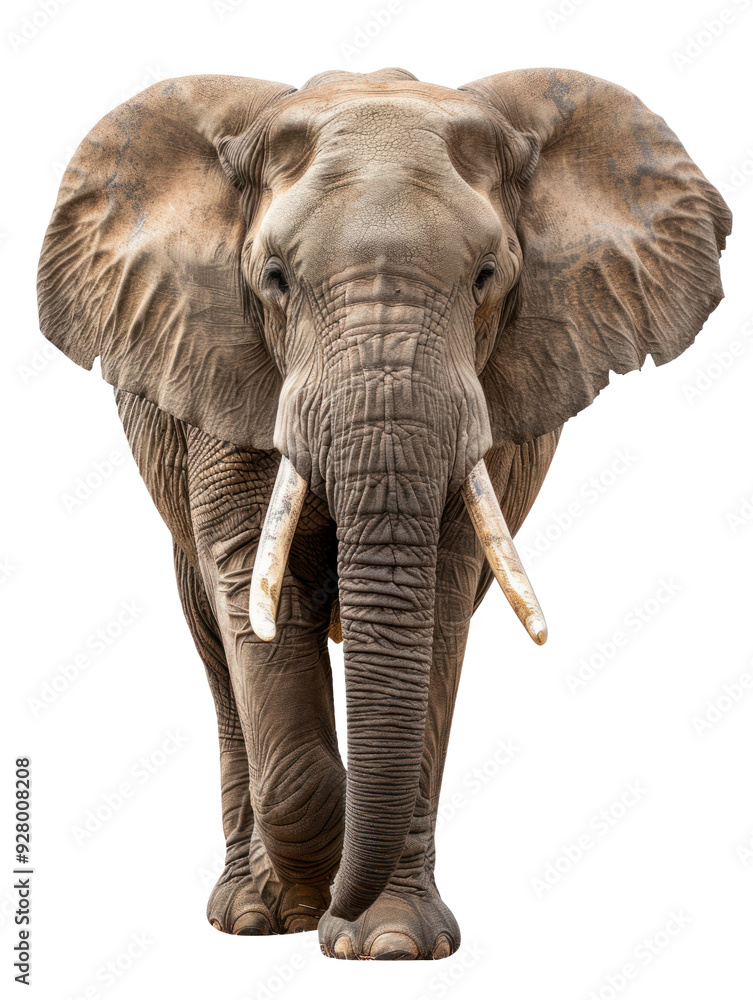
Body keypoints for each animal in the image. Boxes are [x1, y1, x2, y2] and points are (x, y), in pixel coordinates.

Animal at [37, 66, 730, 961]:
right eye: (273, 278)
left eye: (487, 275)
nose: (330, 904)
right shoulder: (225, 368)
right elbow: (255, 592)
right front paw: (307, 900)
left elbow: (432, 602)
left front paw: (392, 943)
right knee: (215, 650)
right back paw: (252, 915)